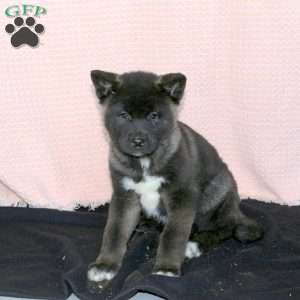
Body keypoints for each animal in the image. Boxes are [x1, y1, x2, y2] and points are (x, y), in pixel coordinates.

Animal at [86, 69, 262, 288]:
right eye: (124, 115)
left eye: (154, 116)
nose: (138, 141)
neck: (145, 163)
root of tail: (236, 209)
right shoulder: (124, 196)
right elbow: (114, 231)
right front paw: (105, 266)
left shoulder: (182, 196)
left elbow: (173, 234)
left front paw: (166, 269)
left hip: (217, 190)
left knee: (226, 227)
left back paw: (195, 245)